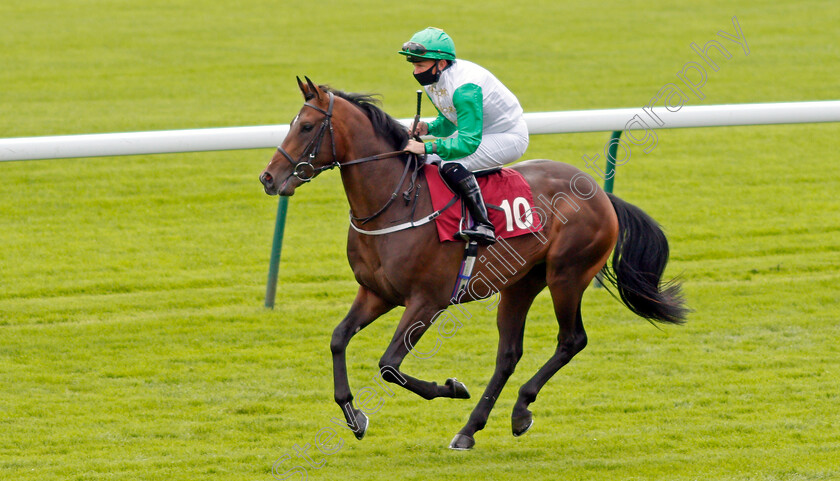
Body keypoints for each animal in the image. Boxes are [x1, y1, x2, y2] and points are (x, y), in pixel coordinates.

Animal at [260, 77, 684, 448]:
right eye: (292, 124)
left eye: (307, 126)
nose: (268, 178)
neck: (395, 202)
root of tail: (599, 193)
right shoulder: (376, 293)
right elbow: (338, 339)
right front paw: (353, 415)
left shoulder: (428, 301)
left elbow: (389, 364)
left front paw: (451, 387)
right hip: (521, 283)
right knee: (508, 354)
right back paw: (470, 430)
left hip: (567, 275)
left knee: (571, 340)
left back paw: (520, 410)